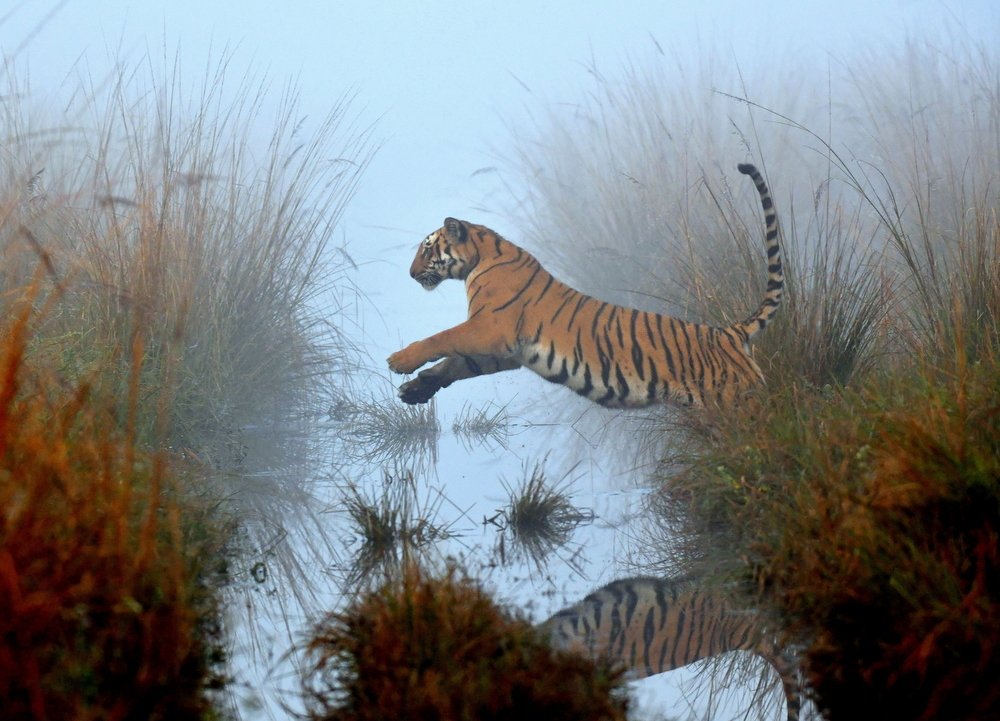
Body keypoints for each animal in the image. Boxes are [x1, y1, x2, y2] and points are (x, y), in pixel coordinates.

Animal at [387, 163, 782, 408]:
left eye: (426, 248)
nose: (409, 273)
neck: (480, 260)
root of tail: (731, 332)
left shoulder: (491, 327)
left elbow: (442, 338)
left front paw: (400, 361)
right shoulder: (504, 349)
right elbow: (455, 363)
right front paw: (416, 389)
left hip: (737, 405)